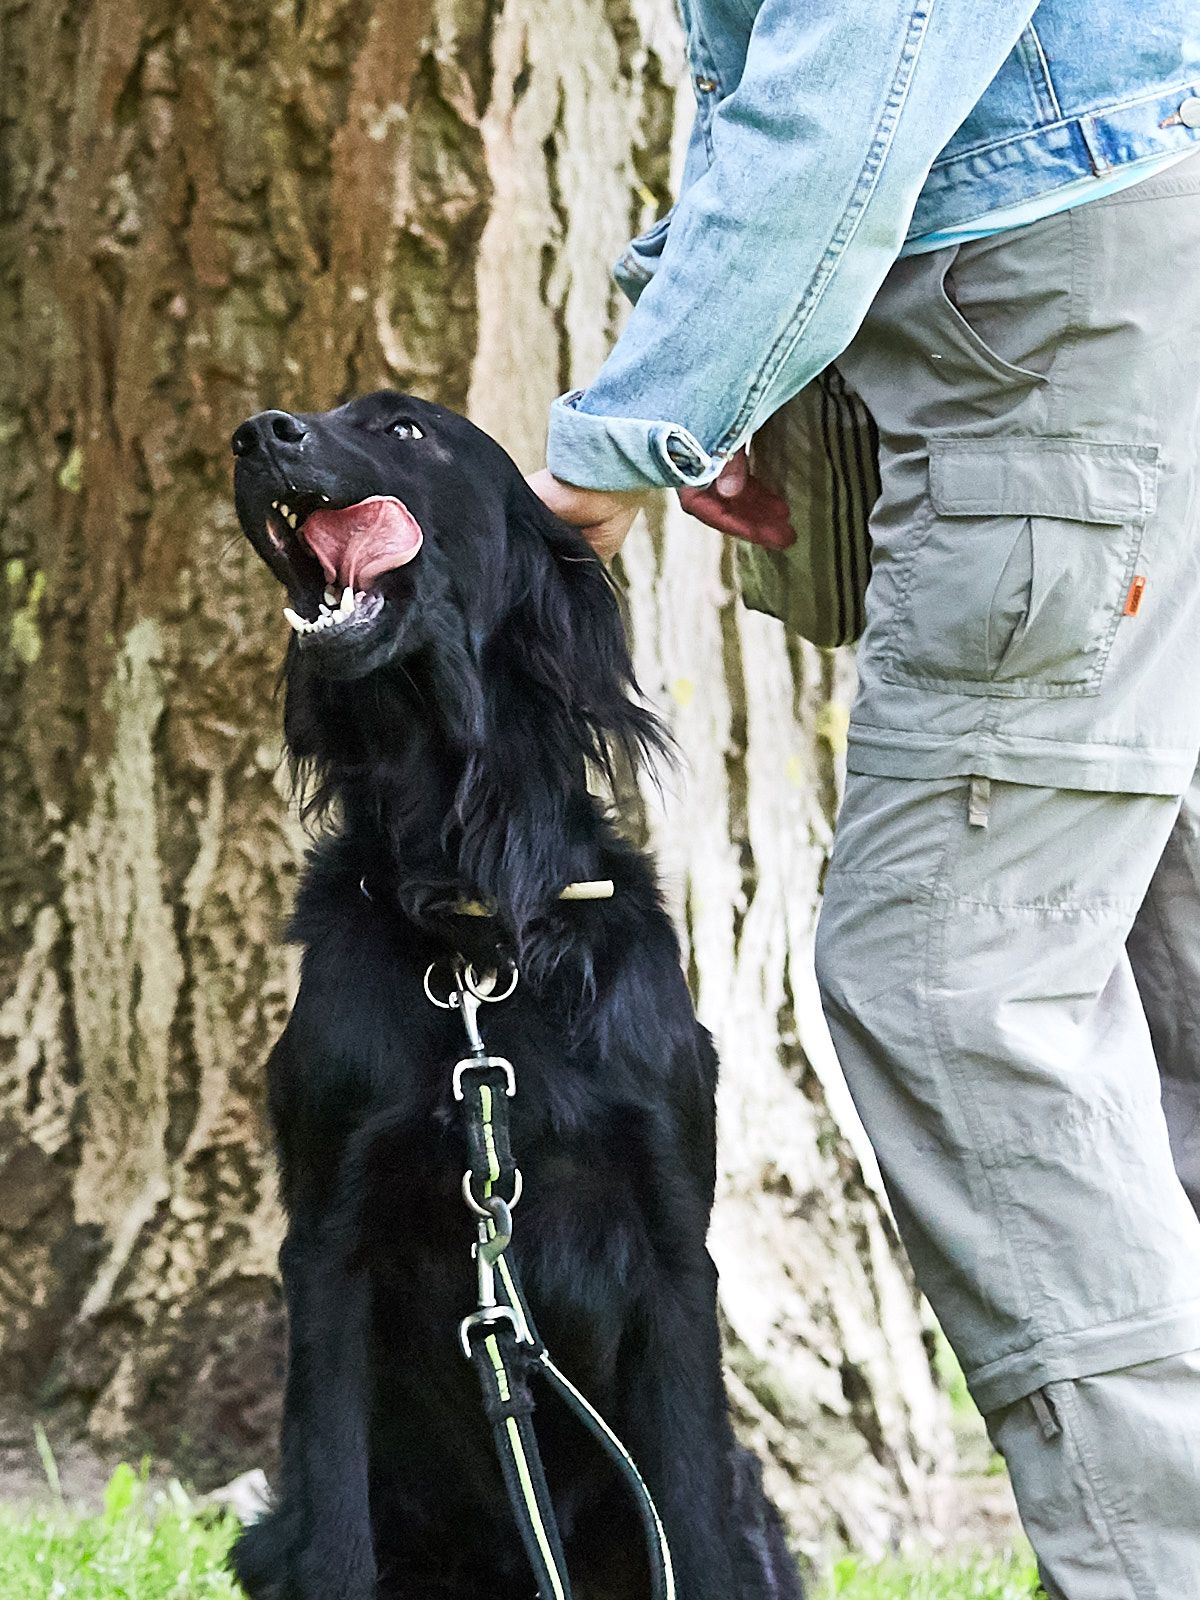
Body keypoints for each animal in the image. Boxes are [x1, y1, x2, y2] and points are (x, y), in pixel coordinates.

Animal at [228, 391, 803, 1600]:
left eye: (404, 431)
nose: (257, 434)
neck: (475, 928)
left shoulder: (673, 1237)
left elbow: (692, 1509)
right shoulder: (330, 1242)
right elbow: (337, 1526)